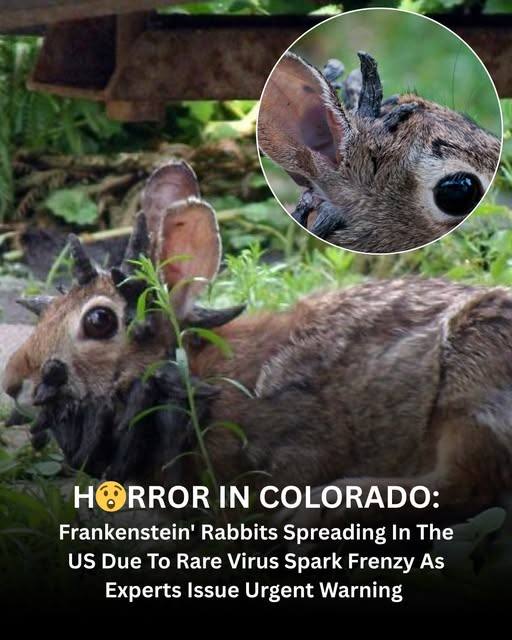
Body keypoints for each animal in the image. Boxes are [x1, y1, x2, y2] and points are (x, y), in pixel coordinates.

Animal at [3, 161, 512, 529]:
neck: (193, 375)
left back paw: (320, 506)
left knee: (465, 484)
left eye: (99, 321)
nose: (12, 381)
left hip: (469, 384)